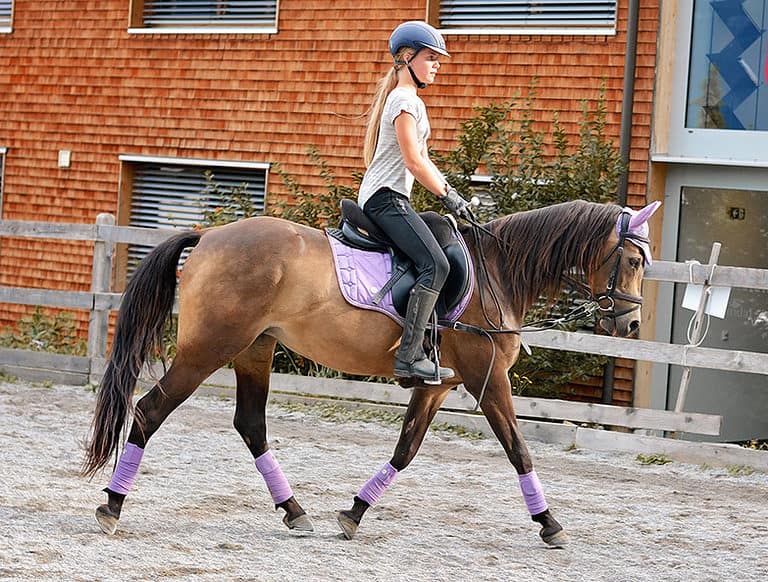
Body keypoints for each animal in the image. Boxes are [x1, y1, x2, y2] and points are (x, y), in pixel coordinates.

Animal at [82, 198, 659, 547]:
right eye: (632, 261)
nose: (630, 323)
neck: (496, 273)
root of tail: (209, 237)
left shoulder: (439, 384)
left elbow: (405, 450)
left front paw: (354, 512)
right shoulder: (487, 379)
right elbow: (519, 449)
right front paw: (550, 524)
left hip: (254, 349)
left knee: (250, 425)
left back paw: (295, 511)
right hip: (209, 349)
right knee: (149, 410)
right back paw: (111, 506)